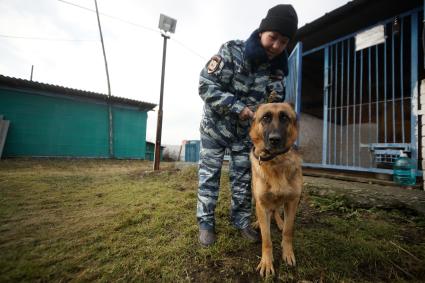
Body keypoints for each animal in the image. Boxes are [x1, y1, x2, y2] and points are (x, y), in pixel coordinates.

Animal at [248, 102, 302, 278]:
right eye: (265, 118)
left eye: (285, 117)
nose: (274, 139)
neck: (276, 160)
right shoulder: (262, 203)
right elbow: (266, 239)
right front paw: (266, 262)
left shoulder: (292, 202)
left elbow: (288, 231)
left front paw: (288, 253)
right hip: (255, 199)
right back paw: (258, 222)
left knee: (276, 211)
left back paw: (279, 221)